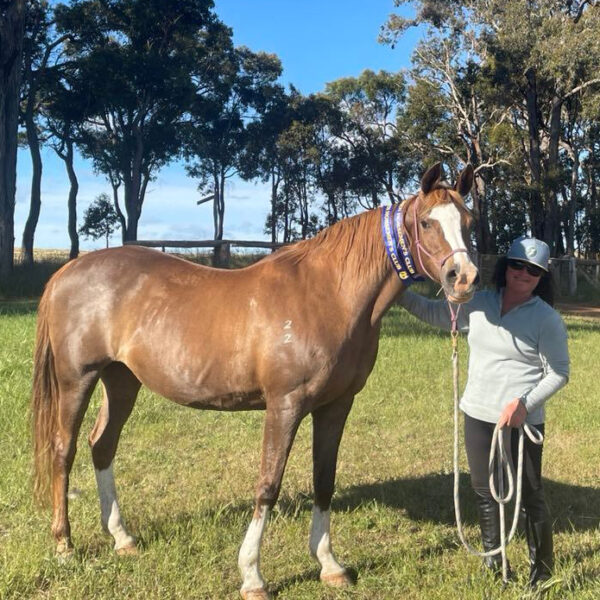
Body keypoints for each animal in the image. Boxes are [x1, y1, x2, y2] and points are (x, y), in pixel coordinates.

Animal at [31, 162, 478, 596]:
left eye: (469, 221)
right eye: (427, 222)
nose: (464, 278)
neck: (329, 295)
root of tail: (68, 269)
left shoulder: (335, 406)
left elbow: (324, 480)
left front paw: (330, 565)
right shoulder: (285, 405)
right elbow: (268, 485)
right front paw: (252, 576)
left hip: (122, 380)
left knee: (102, 445)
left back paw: (122, 538)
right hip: (77, 379)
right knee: (64, 450)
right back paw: (64, 545)